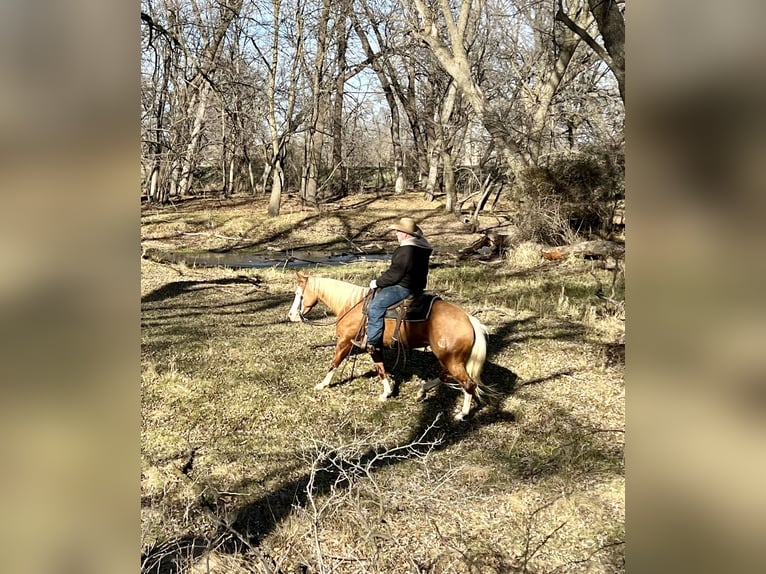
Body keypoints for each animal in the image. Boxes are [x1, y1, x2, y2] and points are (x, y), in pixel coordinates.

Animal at [286, 272, 492, 420]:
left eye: (299, 294)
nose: (291, 315)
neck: (351, 305)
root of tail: (469, 319)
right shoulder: (374, 346)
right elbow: (381, 368)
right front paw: (386, 393)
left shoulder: (344, 341)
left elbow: (335, 362)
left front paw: (323, 384)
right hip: (450, 359)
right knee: (446, 376)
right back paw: (422, 391)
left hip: (451, 360)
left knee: (468, 384)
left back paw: (462, 413)